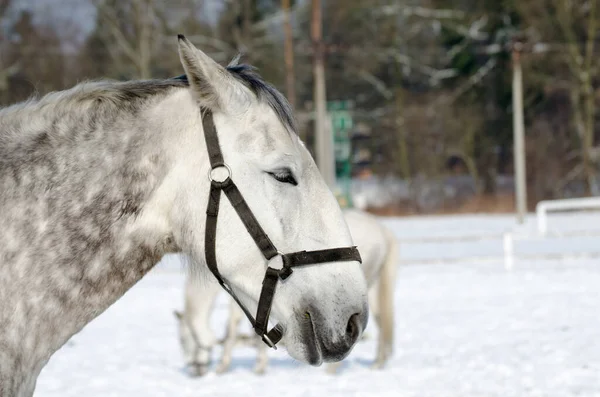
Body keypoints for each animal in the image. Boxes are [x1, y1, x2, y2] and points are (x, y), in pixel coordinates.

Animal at [175, 207, 398, 374]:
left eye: (185, 341)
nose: (195, 370)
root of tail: (381, 229)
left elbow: (232, 328)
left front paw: (232, 366)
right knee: (380, 321)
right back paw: (378, 362)